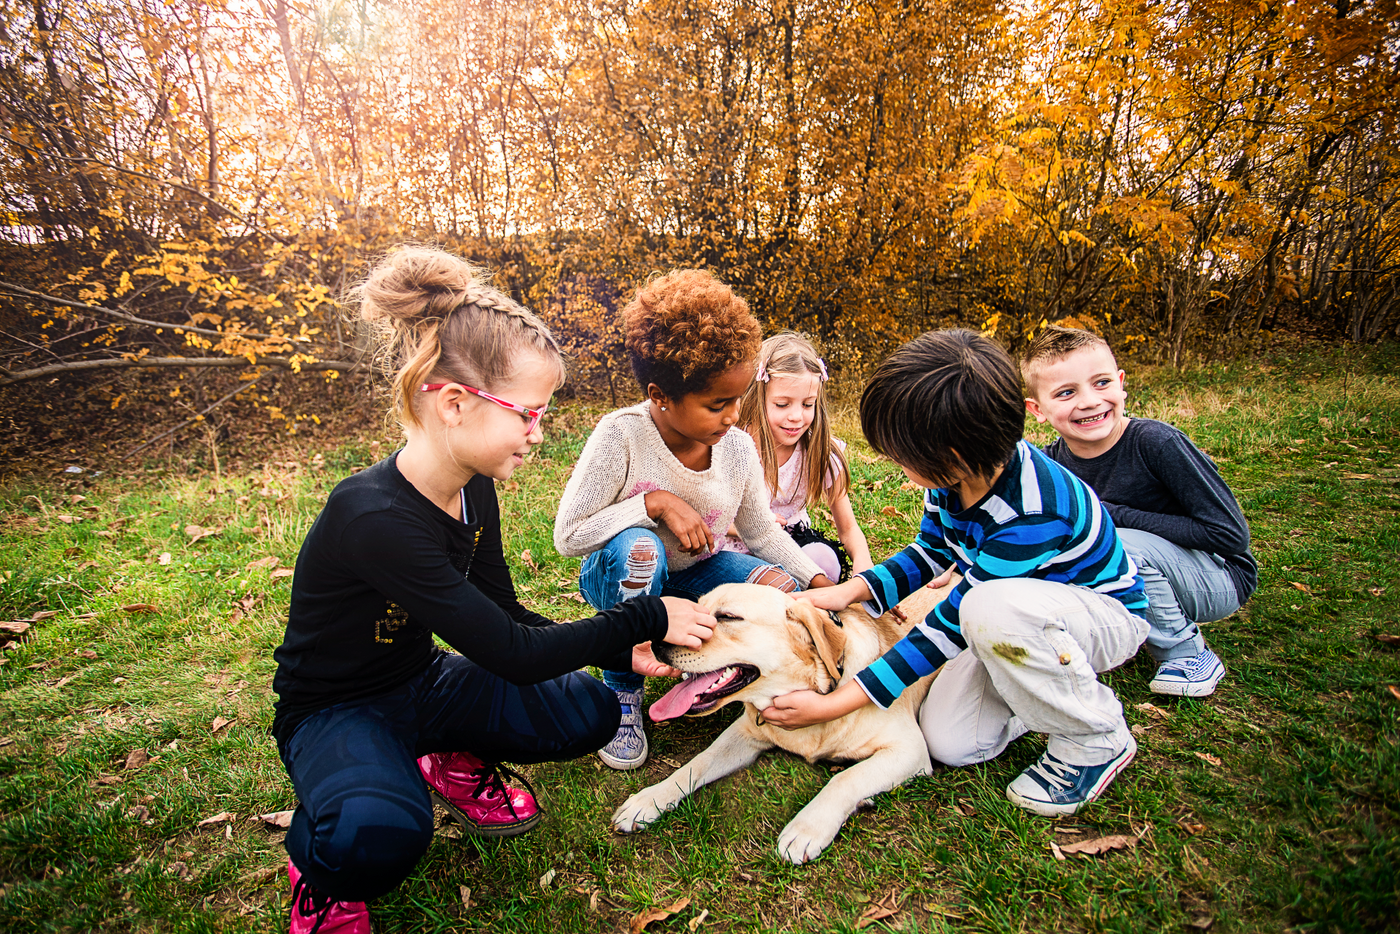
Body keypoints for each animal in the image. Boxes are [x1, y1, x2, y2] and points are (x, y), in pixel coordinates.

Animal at [613, 579, 952, 868]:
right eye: (694, 610)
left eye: (728, 617)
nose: (655, 639)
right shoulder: (745, 732)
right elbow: (696, 764)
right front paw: (649, 799)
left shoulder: (910, 749)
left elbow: (845, 779)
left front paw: (807, 827)